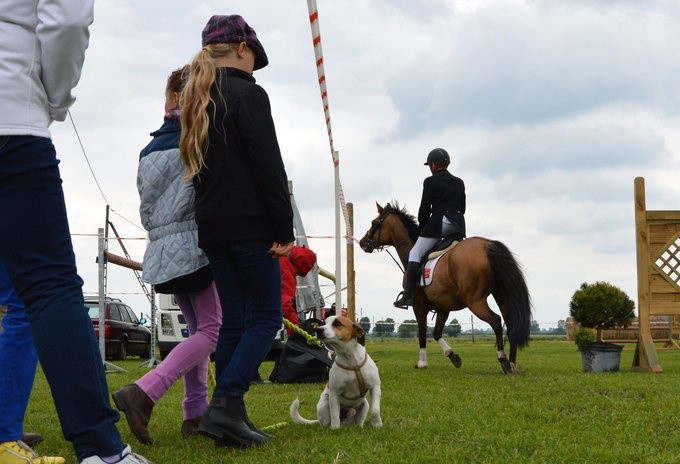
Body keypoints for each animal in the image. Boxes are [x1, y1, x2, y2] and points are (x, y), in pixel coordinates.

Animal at [358, 202, 532, 374]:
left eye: (374, 223)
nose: (361, 243)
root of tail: (487, 244)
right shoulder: (443, 307)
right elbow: (436, 333)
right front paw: (452, 356)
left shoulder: (418, 306)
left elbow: (422, 333)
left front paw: (422, 362)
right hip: (502, 296)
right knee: (511, 322)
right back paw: (512, 363)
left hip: (475, 301)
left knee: (496, 320)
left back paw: (503, 360)